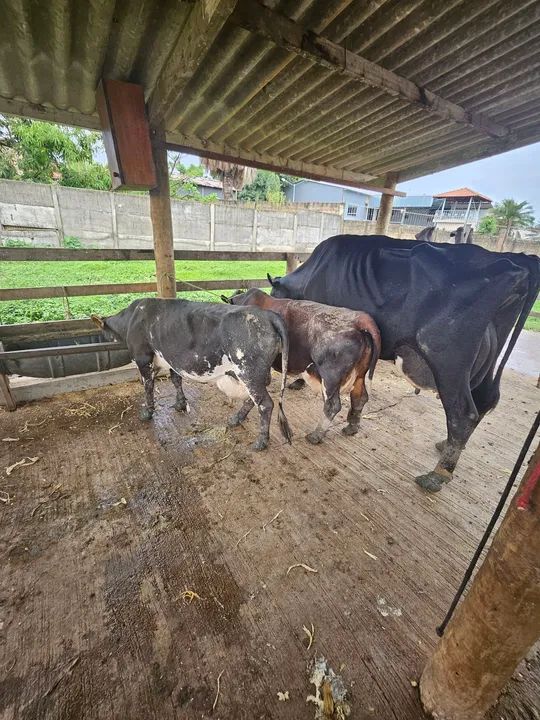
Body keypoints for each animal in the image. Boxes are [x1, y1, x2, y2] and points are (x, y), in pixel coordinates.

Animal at [91, 298, 292, 451]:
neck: (132, 318)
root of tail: (267, 314)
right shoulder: (171, 360)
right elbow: (176, 380)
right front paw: (180, 404)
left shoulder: (143, 357)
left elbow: (148, 385)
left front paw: (147, 413)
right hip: (254, 374)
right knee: (253, 399)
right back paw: (236, 419)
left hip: (249, 371)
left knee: (265, 403)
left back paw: (261, 441)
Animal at [225, 289, 381, 444]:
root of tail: (360, 318)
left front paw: (237, 418)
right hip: (359, 375)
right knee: (360, 397)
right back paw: (351, 427)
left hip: (330, 376)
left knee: (332, 405)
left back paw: (316, 435)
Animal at [267, 234, 540, 492]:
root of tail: (518, 265)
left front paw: (298, 382)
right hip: (483, 367)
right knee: (484, 401)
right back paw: (446, 447)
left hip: (448, 365)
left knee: (463, 414)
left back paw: (437, 475)